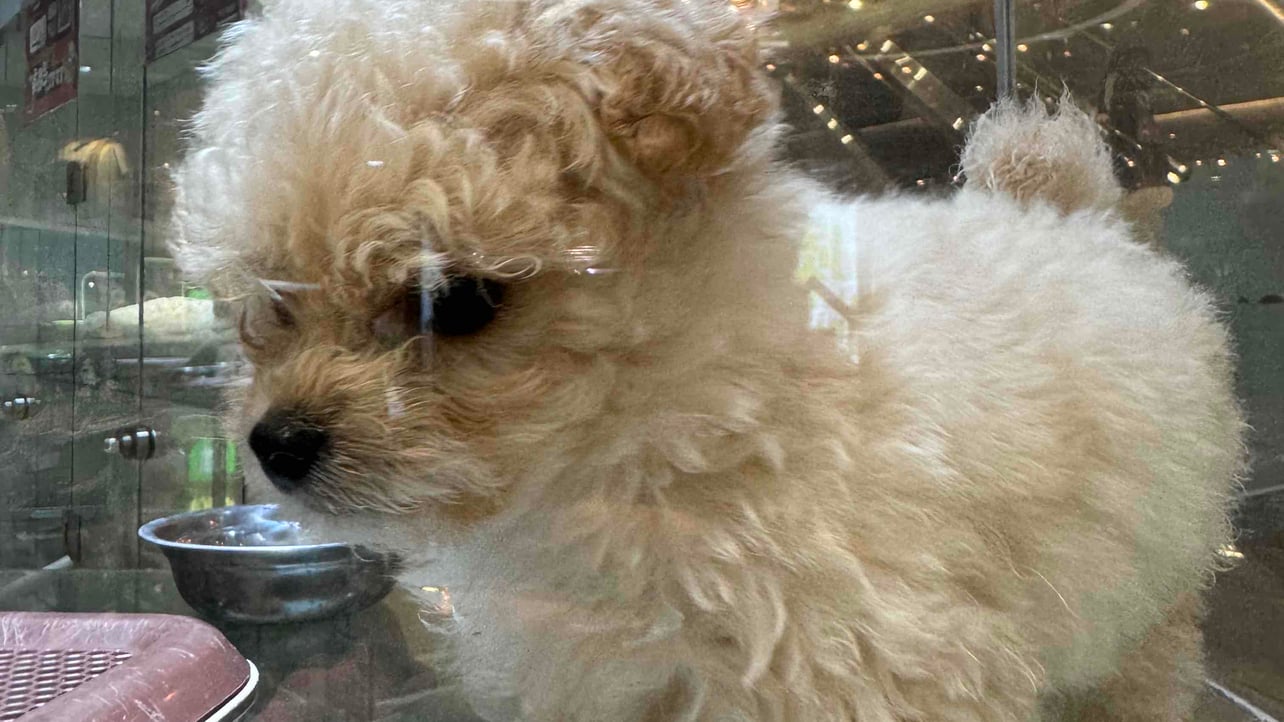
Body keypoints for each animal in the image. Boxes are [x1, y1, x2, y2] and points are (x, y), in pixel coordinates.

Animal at [169, 1, 1246, 719]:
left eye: (454, 303)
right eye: (274, 302)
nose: (277, 443)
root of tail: (1057, 205)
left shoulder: (867, 664)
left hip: (1150, 591)